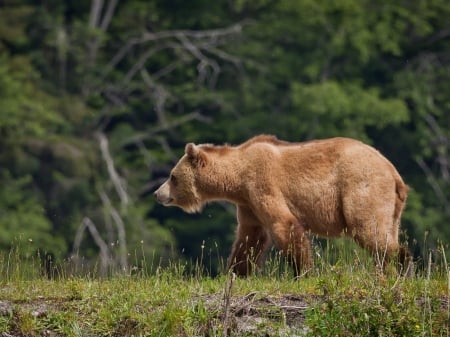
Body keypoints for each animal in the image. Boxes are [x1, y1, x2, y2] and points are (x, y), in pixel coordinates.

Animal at [154, 134, 408, 276]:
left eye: (172, 176)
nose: (158, 194)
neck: (237, 178)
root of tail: (394, 173)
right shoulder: (248, 204)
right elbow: (249, 238)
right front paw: (235, 272)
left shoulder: (262, 183)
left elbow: (284, 224)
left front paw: (302, 272)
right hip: (392, 207)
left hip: (361, 186)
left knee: (370, 230)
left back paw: (402, 266)